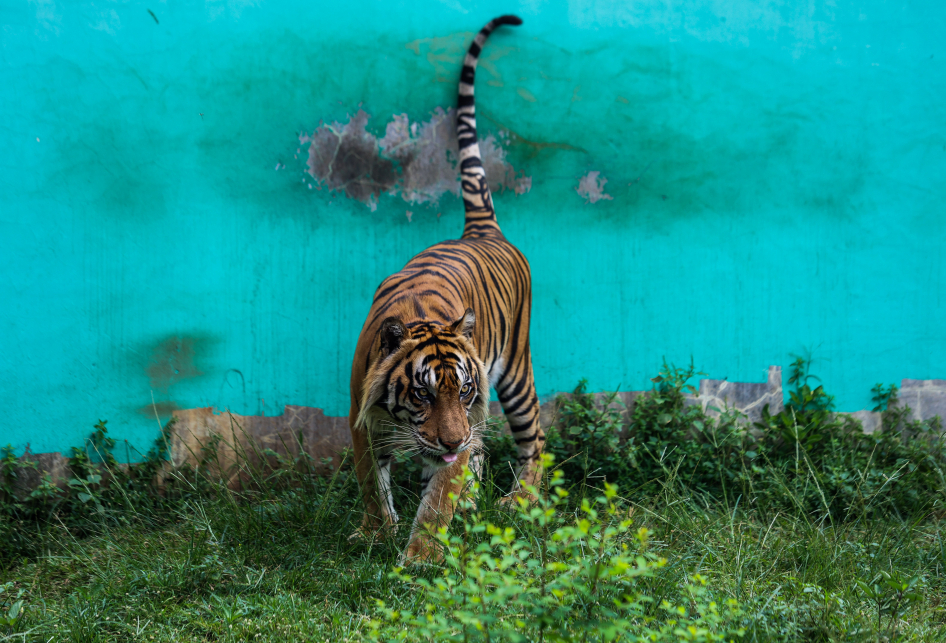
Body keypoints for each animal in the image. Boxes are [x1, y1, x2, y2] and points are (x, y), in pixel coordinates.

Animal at [346, 12, 544, 560]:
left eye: (464, 389)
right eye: (423, 394)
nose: (451, 441)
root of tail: (481, 230)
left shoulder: (466, 420)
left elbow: (438, 498)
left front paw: (419, 558)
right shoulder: (363, 419)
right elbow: (372, 482)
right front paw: (377, 533)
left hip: (516, 374)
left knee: (534, 442)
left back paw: (519, 502)